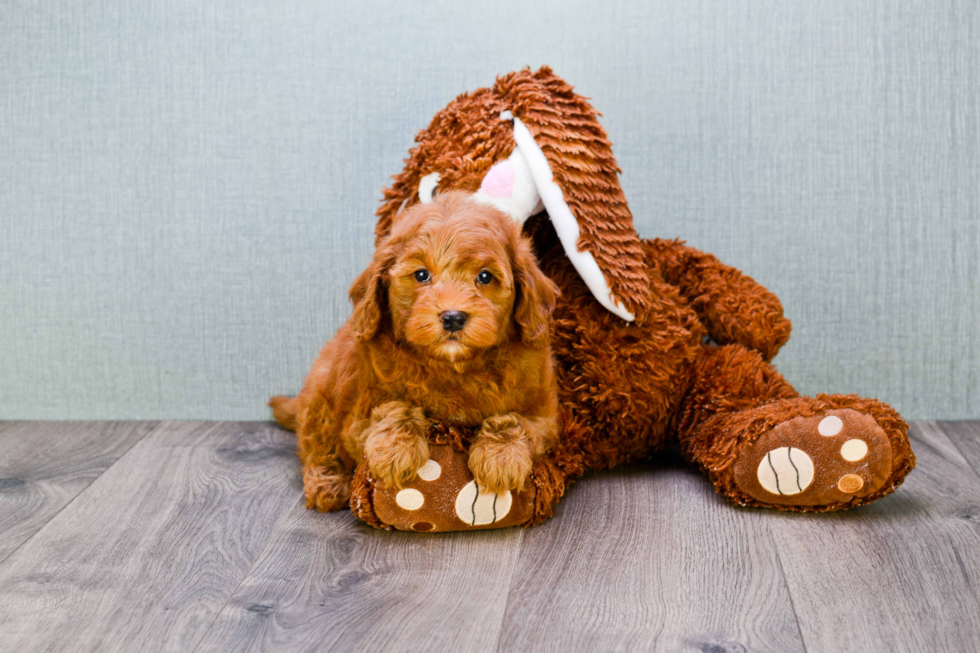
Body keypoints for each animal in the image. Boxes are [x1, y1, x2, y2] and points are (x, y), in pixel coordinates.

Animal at [268, 191, 560, 512]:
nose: (453, 317)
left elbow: (515, 420)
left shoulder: (545, 413)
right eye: (421, 275)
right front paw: (397, 450)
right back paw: (327, 484)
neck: (453, 367)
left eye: (485, 277)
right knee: (316, 445)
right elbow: (394, 407)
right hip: (321, 394)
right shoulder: (356, 419)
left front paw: (501, 458)